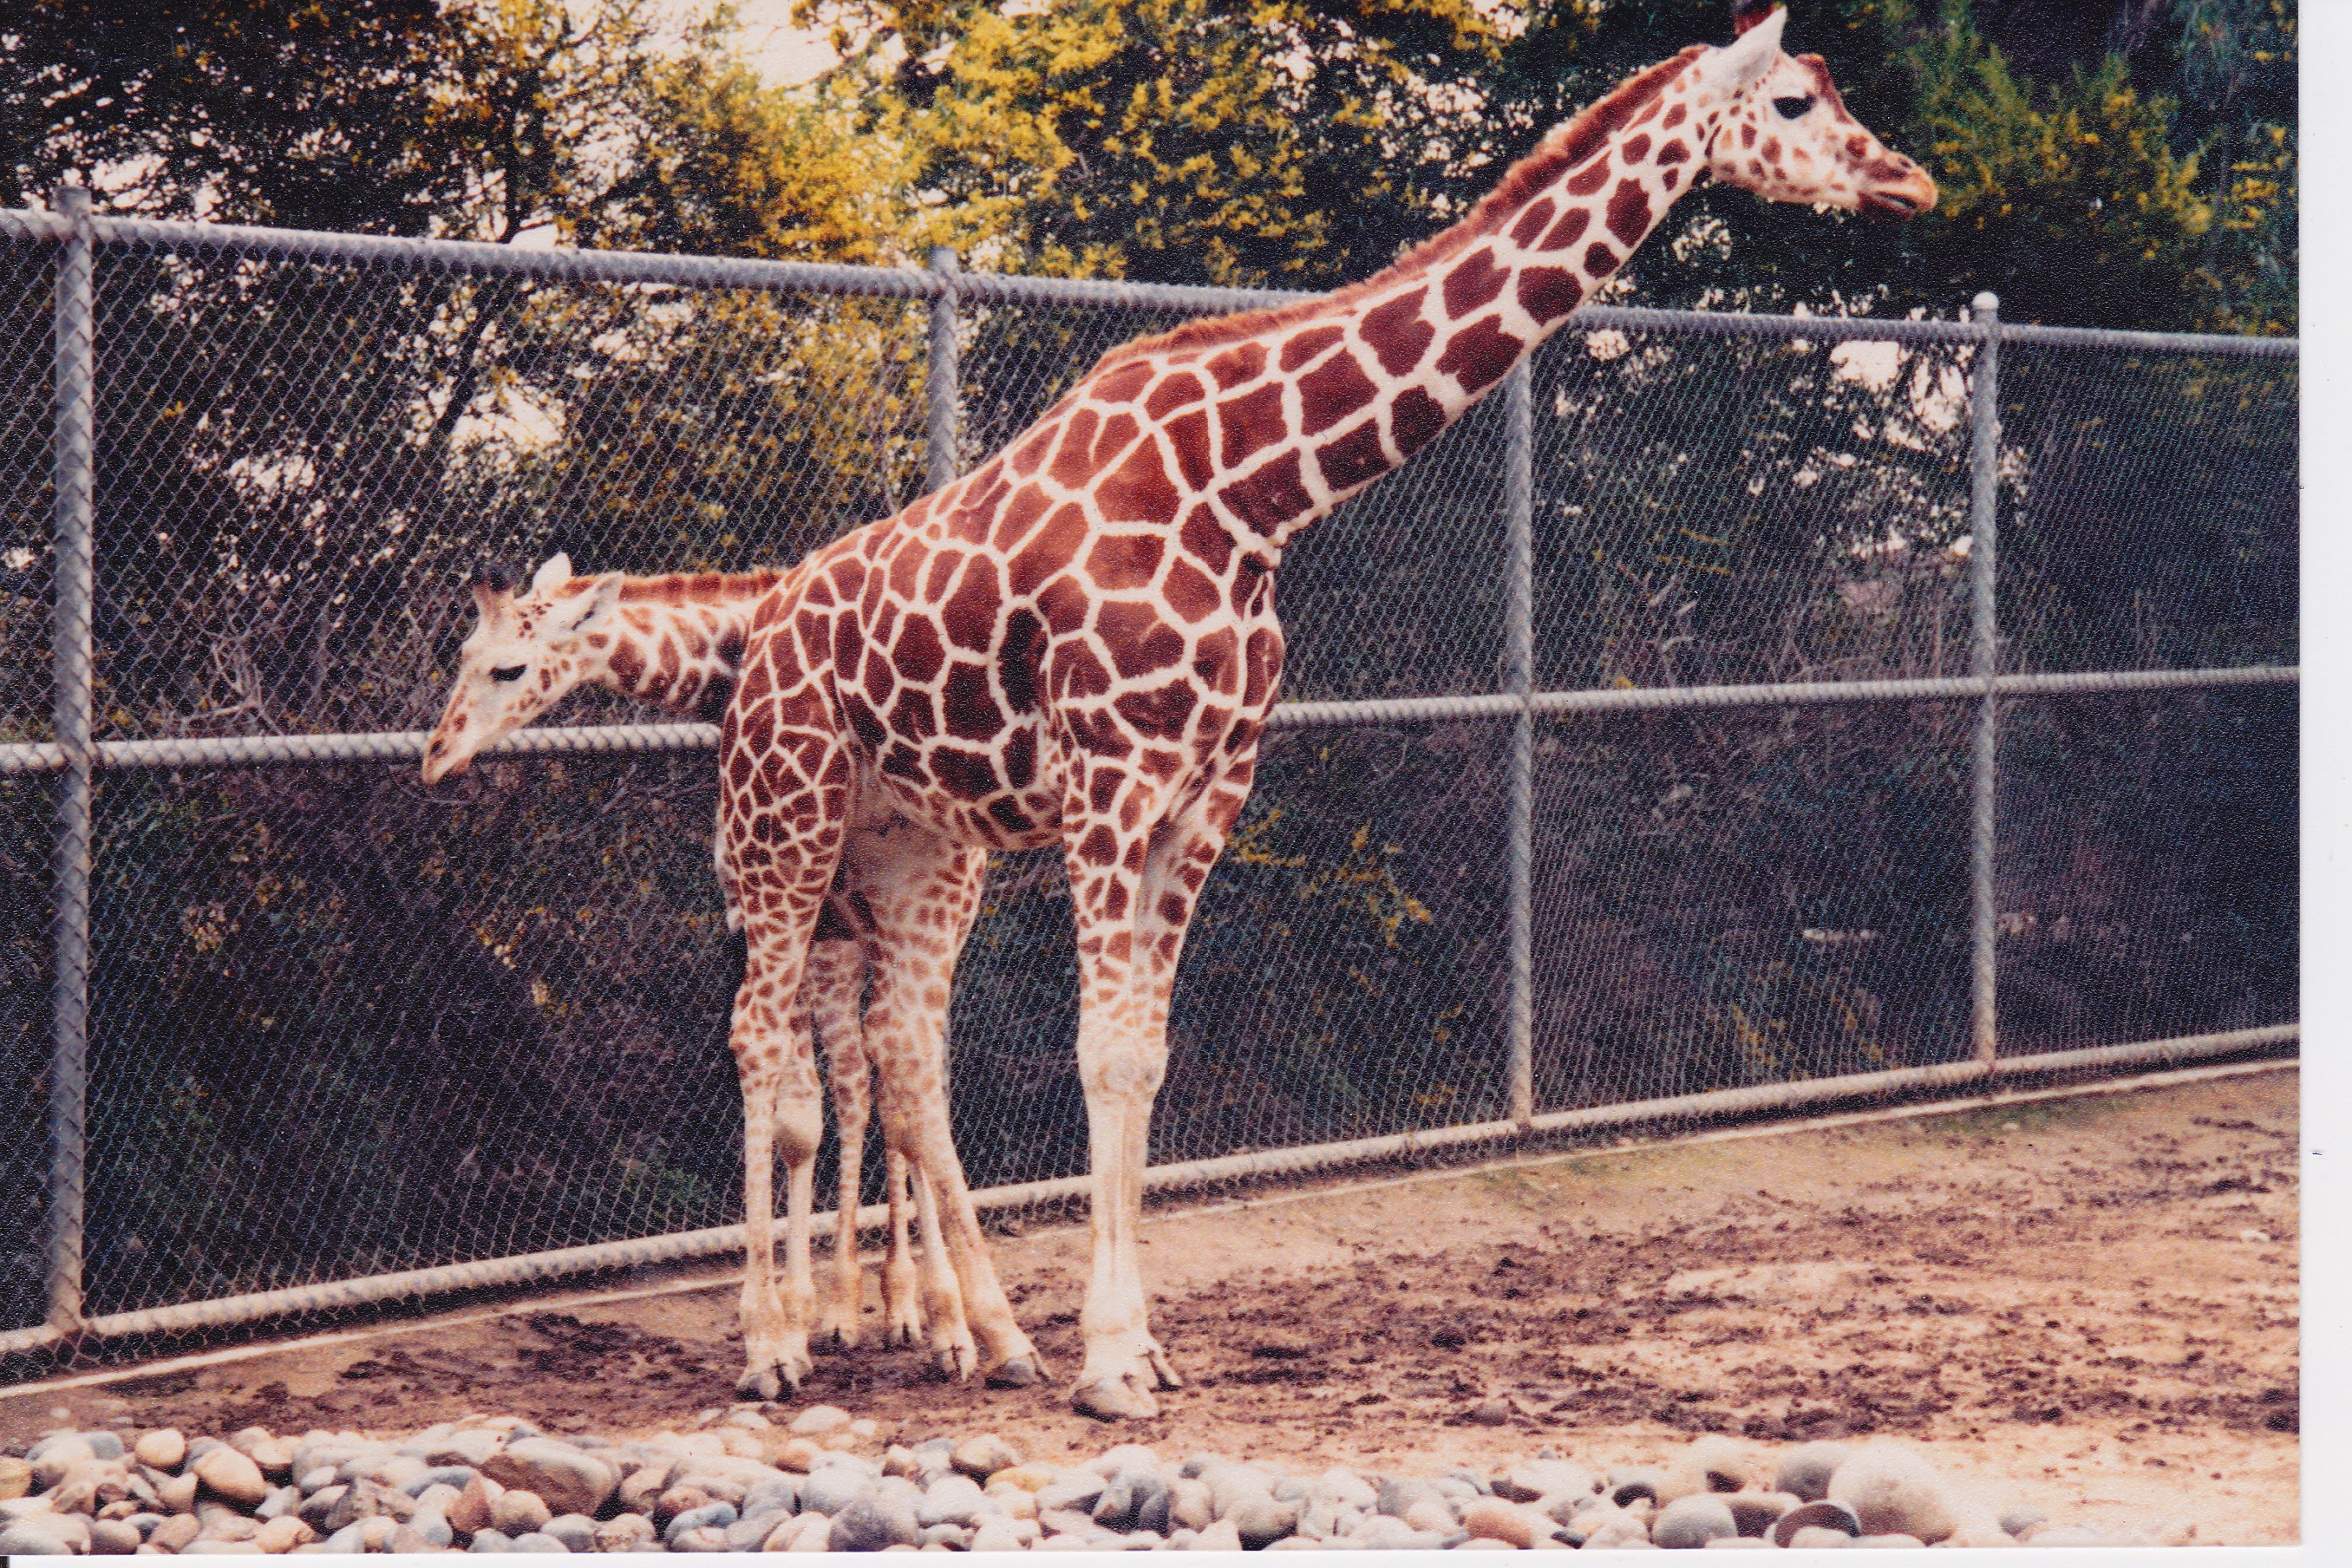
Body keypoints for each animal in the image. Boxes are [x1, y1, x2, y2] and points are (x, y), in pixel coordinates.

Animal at [417, 554, 1000, 1373]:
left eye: (511, 667)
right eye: (464, 654)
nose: (437, 758)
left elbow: (881, 1105)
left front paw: (865, 1320)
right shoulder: (779, 919)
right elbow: (801, 1118)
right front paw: (801, 1317)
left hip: (924, 921)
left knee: (901, 1085)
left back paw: (923, 1310)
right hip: (856, 939)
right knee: (866, 1083)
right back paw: (874, 1304)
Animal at [719, 0, 1935, 1412]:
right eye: (1795, 101)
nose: (1908, 178)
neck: (1249, 493)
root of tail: (760, 636)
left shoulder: (1208, 792)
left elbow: (1144, 1057)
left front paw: (1140, 1348)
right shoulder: (1110, 782)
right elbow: (1098, 1053)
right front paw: (1108, 1363)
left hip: (911, 845)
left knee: (902, 1057)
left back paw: (982, 1337)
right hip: (786, 826)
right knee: (765, 1044)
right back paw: (774, 1345)